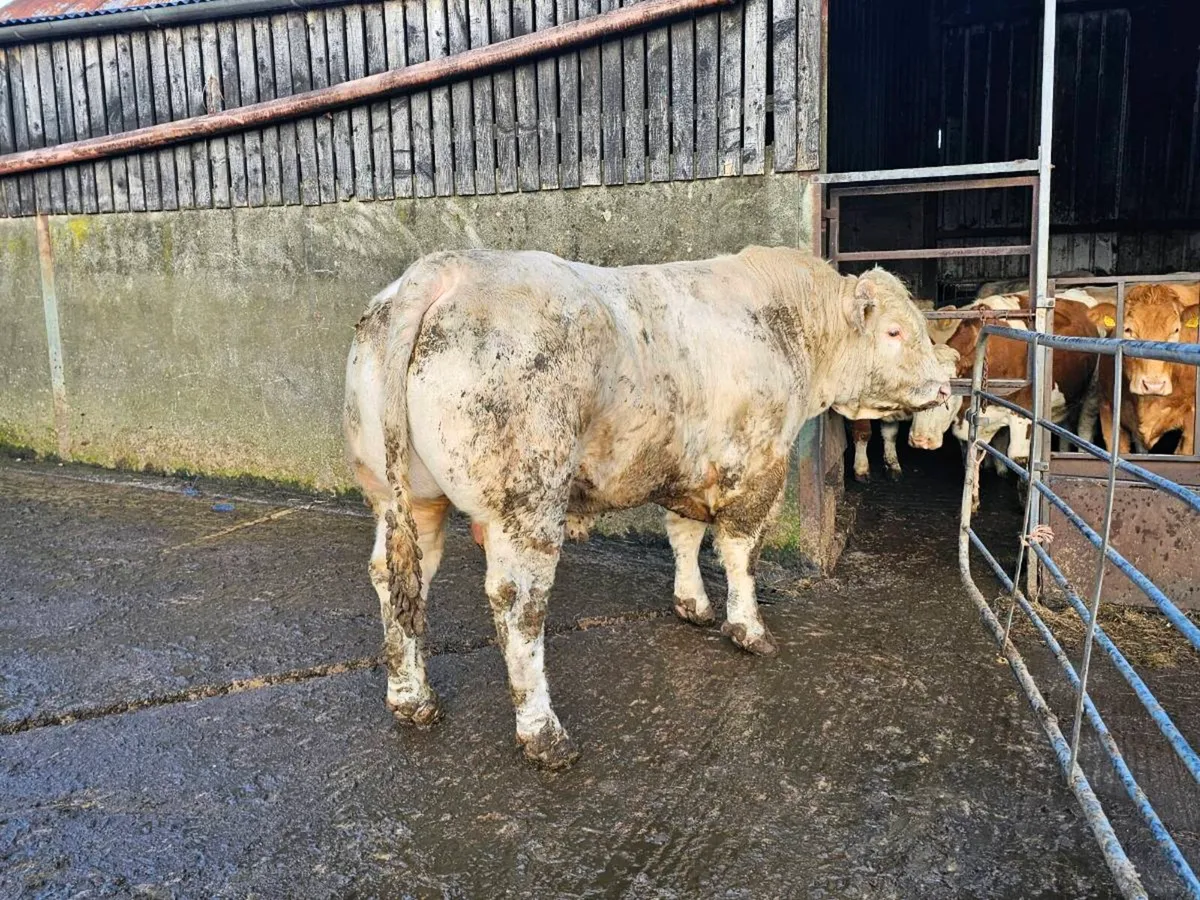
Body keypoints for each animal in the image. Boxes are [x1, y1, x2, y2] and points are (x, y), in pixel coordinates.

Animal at [344, 247, 950, 768]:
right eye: (895, 331)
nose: (944, 387)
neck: (792, 326)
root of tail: (445, 267)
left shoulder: (686, 467)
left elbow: (683, 535)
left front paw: (692, 603)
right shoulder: (757, 468)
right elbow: (741, 554)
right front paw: (748, 629)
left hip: (403, 495)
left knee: (397, 577)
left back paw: (411, 697)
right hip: (528, 502)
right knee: (519, 605)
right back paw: (544, 734)